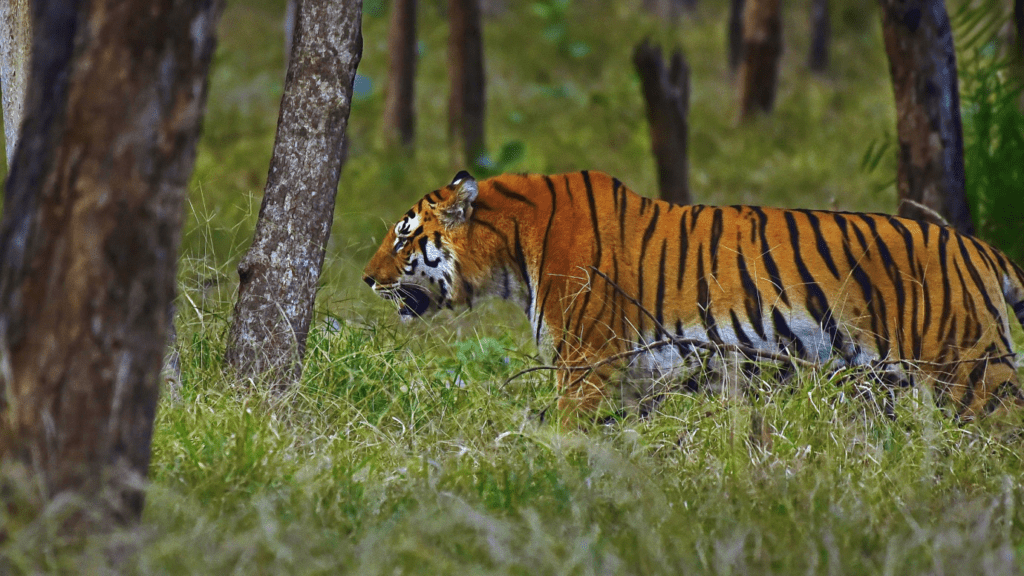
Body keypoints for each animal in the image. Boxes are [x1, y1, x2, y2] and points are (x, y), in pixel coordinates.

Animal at [362, 169, 1024, 416]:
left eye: (403, 236)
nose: (366, 277)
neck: (510, 252)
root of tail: (979, 247)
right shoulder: (634, 377)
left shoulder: (584, 364)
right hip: (890, 383)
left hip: (971, 370)